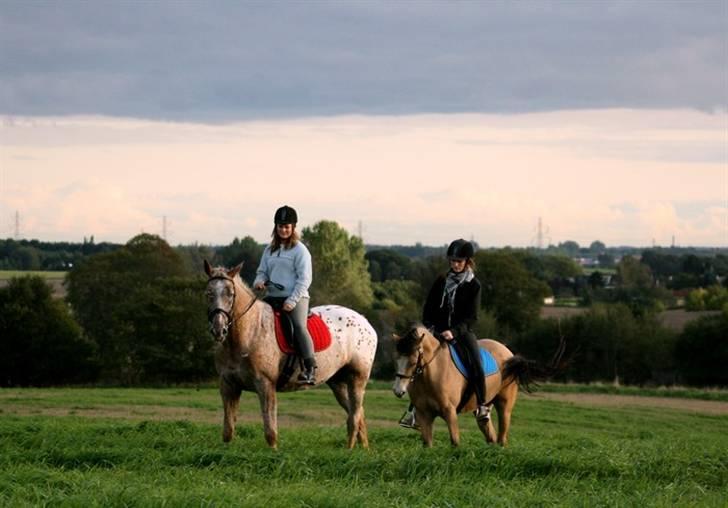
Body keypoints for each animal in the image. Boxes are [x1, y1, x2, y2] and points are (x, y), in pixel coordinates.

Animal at [203, 262, 376, 448]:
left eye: (230, 294)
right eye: (208, 293)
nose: (219, 330)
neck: (248, 334)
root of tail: (364, 321)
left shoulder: (265, 385)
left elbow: (270, 433)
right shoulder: (228, 386)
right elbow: (228, 431)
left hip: (357, 379)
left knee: (354, 418)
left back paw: (349, 450)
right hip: (338, 383)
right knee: (358, 415)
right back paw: (363, 449)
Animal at [392, 324, 564, 446]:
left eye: (412, 361)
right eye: (397, 359)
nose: (398, 391)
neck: (430, 376)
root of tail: (508, 353)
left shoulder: (450, 412)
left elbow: (455, 441)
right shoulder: (424, 414)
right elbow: (428, 444)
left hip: (504, 405)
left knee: (502, 437)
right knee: (490, 434)